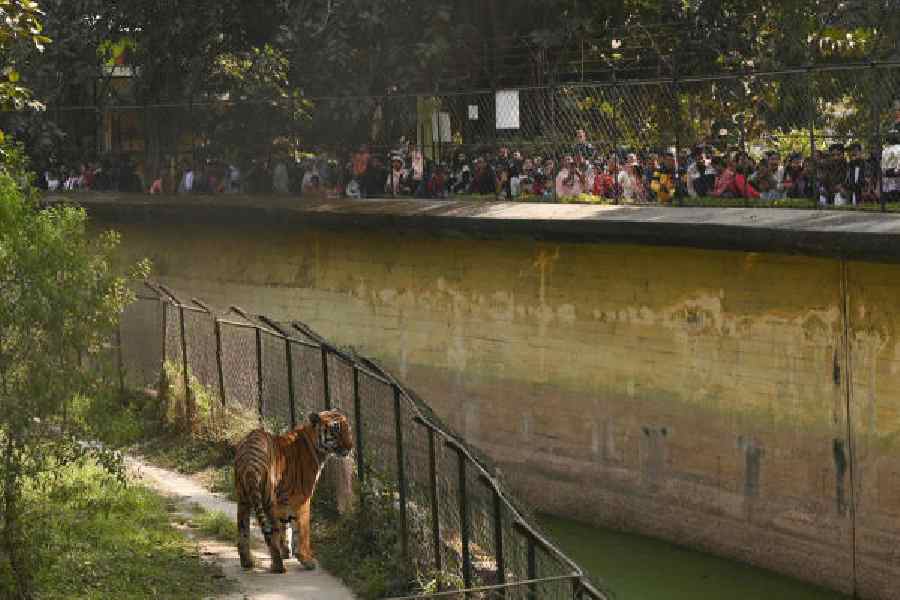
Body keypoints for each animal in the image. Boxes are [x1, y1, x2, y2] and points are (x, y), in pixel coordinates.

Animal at [233, 409, 353, 573]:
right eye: (336, 431)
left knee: (243, 533)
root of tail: (250, 453)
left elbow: (286, 526)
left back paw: (248, 563)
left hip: (243, 499)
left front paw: (286, 551)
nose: (351, 446)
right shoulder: (302, 498)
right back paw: (278, 566)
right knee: (271, 534)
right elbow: (302, 530)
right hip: (267, 499)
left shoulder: (283, 500)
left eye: (348, 429)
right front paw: (307, 560)